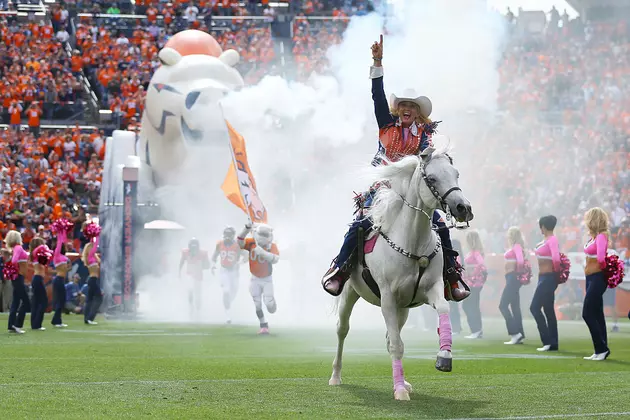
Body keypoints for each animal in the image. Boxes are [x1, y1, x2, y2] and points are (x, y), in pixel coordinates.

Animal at [330, 147, 474, 400]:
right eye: (432, 178)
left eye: (456, 174)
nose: (462, 208)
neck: (412, 243)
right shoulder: (387, 298)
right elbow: (396, 345)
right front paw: (399, 391)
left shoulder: (432, 289)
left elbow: (442, 309)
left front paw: (444, 357)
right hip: (350, 293)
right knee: (342, 330)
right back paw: (336, 376)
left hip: (403, 309)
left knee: (391, 337)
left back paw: (404, 382)